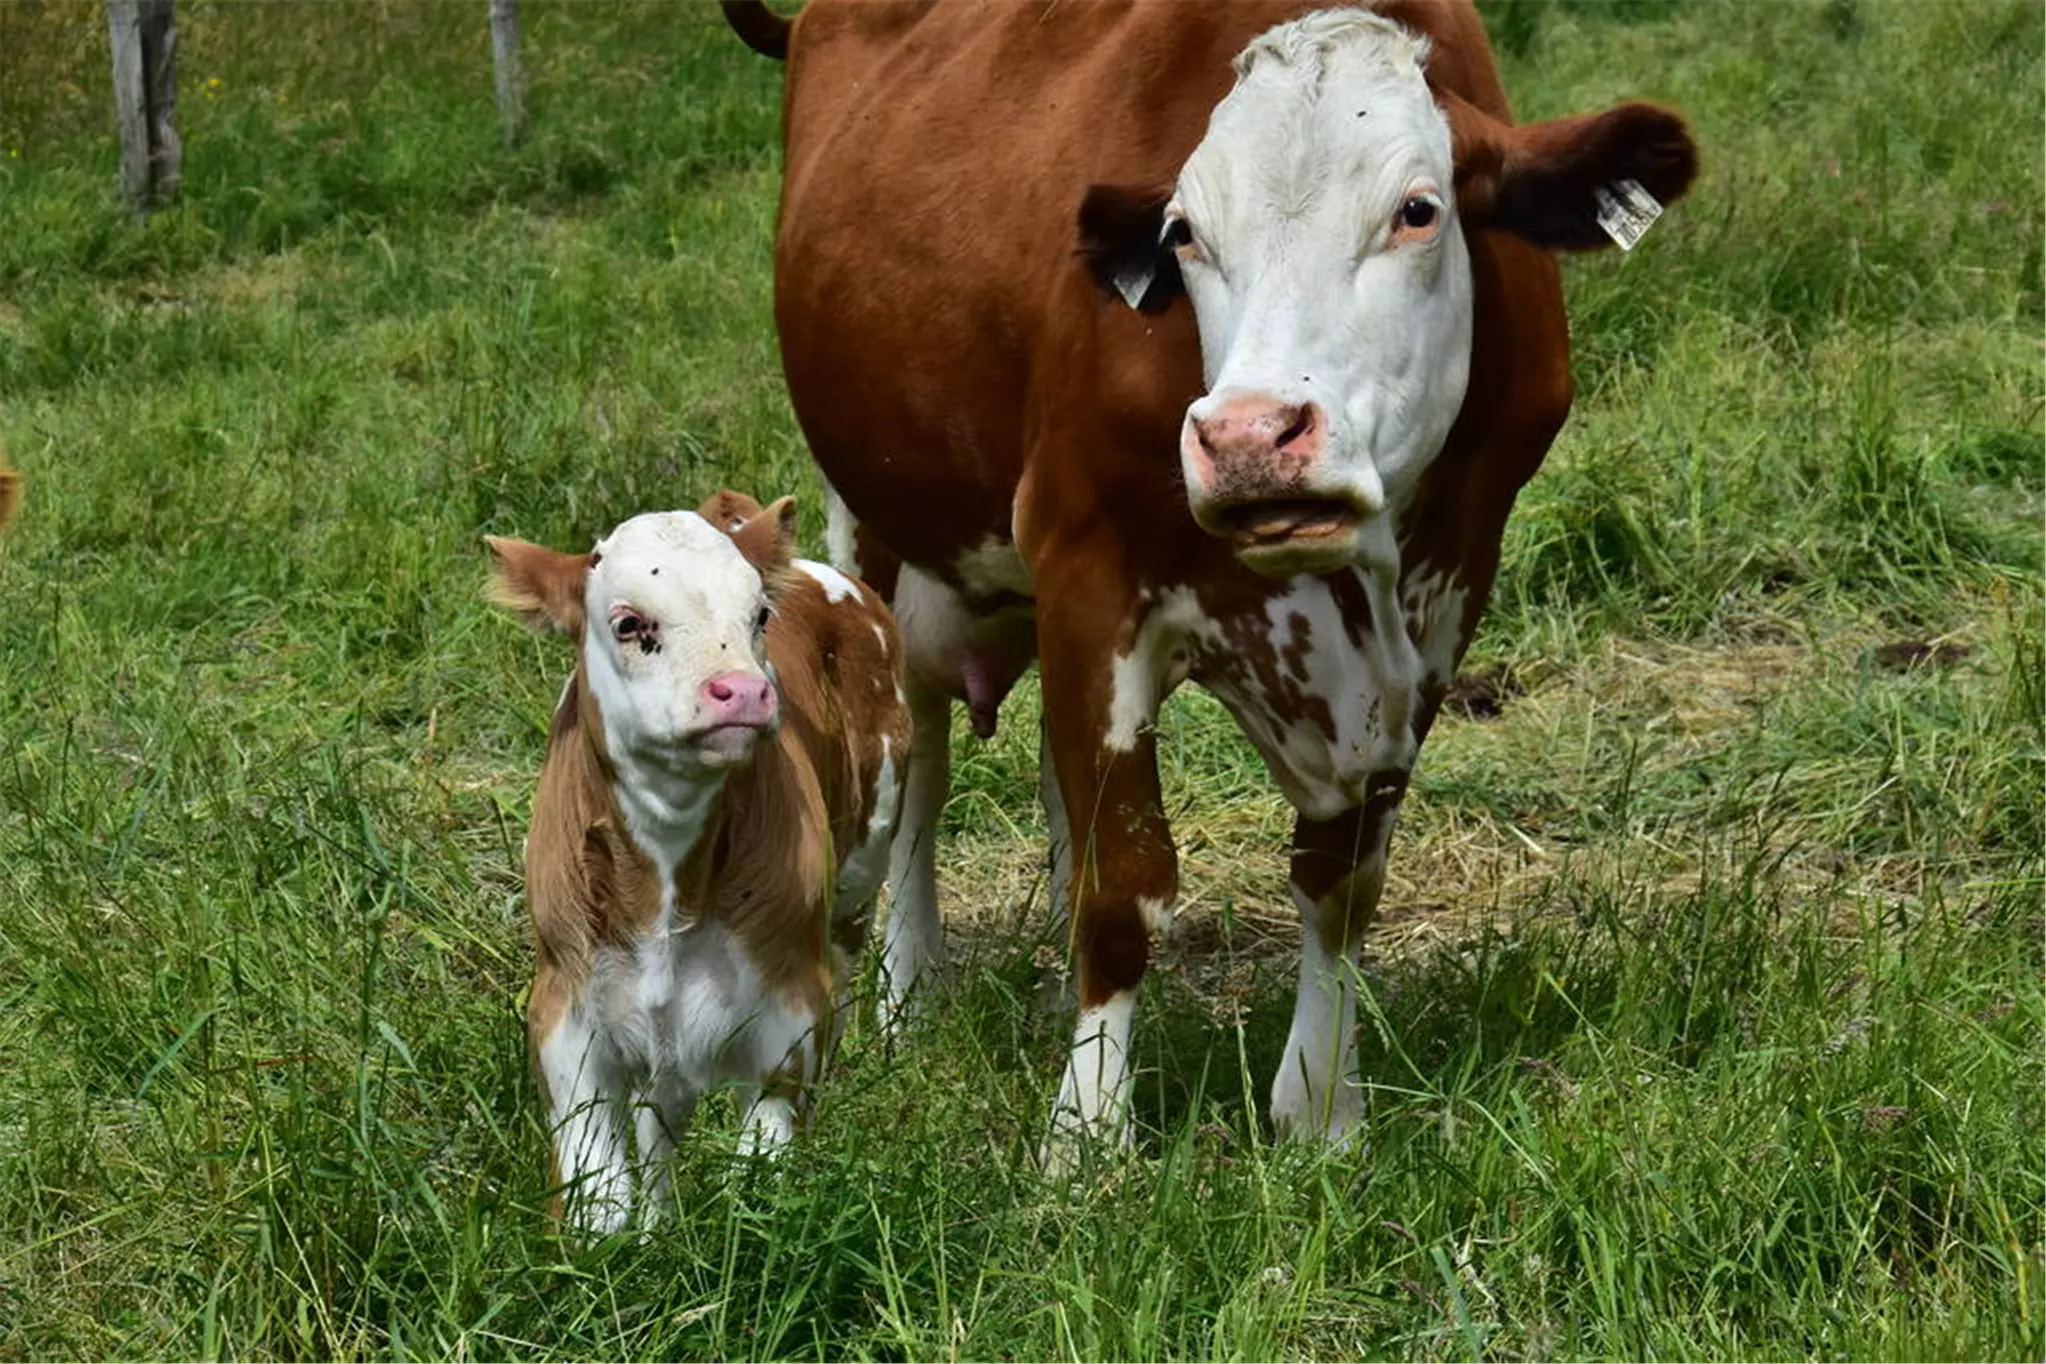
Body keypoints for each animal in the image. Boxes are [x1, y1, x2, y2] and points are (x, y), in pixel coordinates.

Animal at [482, 490, 908, 1235]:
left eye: (758, 615)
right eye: (629, 622)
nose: (742, 691)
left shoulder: (792, 1016)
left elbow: (759, 1186)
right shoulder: (565, 1013)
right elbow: (601, 1201)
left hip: (862, 866)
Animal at [720, 0, 1694, 1161]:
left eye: (1417, 210)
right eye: (1186, 232)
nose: (1248, 438)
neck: (1343, 597)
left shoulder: (1444, 603)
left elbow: (1340, 881)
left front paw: (1320, 1107)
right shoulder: (1089, 572)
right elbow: (1123, 888)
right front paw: (1086, 1135)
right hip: (873, 521)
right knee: (919, 755)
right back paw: (908, 994)